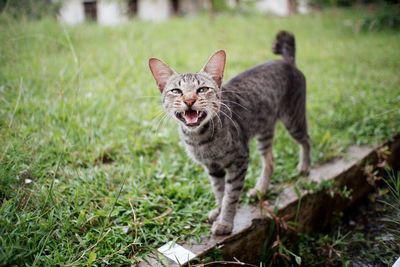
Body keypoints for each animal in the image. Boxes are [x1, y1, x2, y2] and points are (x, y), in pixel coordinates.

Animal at [148, 31, 310, 237]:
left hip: (293, 120)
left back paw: (304, 166)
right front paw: (218, 211)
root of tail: (287, 62)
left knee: (307, 140)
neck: (200, 139)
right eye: (176, 91)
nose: (189, 100)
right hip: (264, 130)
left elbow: (230, 196)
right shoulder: (213, 167)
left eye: (202, 89)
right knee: (270, 160)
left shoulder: (239, 160)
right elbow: (219, 191)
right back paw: (260, 189)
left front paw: (225, 222)